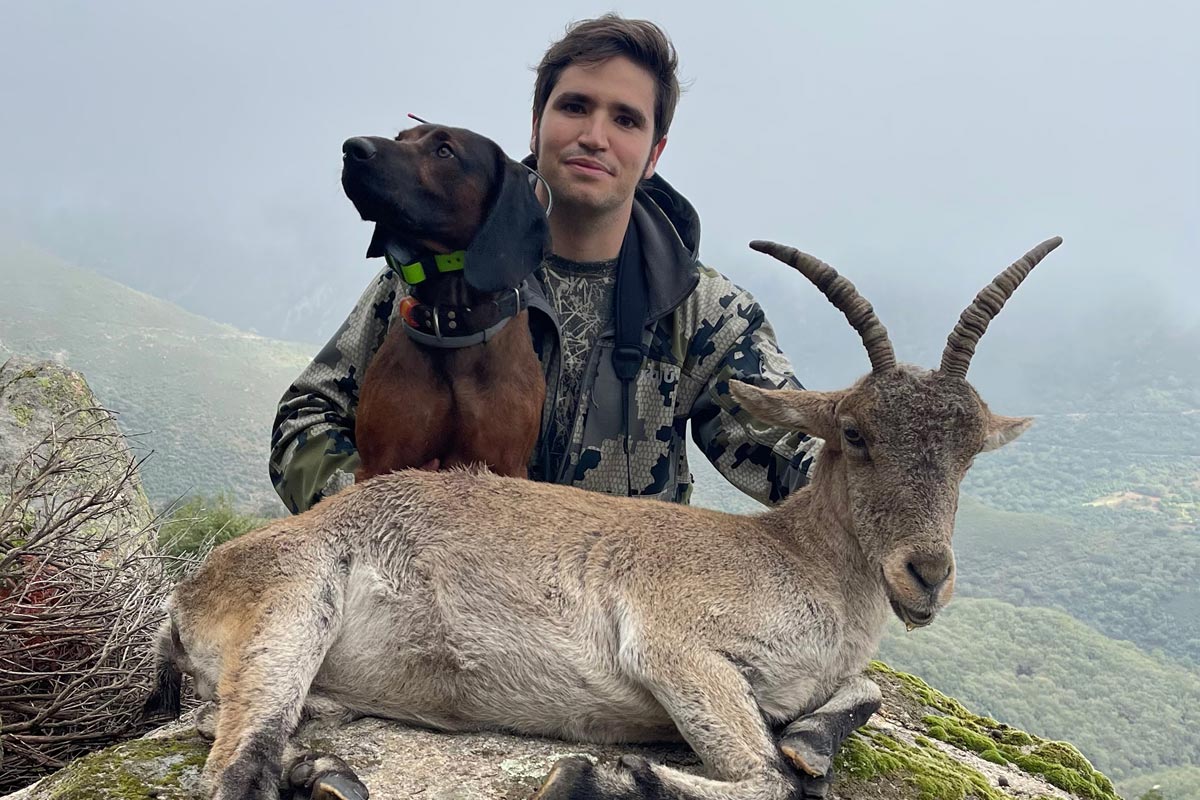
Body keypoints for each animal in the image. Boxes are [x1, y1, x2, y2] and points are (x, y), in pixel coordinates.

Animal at [343, 125, 549, 482]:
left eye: (444, 151)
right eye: (400, 139)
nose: (351, 148)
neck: (454, 324)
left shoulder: (506, 466)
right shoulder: (378, 462)